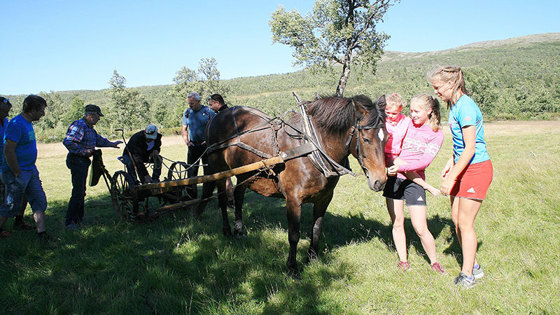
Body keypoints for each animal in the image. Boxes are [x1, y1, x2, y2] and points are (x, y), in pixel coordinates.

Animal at [195, 94, 388, 272]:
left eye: (386, 138)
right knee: (222, 200)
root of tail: (215, 117)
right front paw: (292, 267)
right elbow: (294, 234)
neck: (311, 148)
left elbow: (317, 228)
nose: (380, 181)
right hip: (218, 170)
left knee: (238, 196)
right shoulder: (293, 199)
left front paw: (312, 259)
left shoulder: (324, 198)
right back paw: (227, 231)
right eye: (366, 139)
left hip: (244, 173)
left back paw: (239, 230)